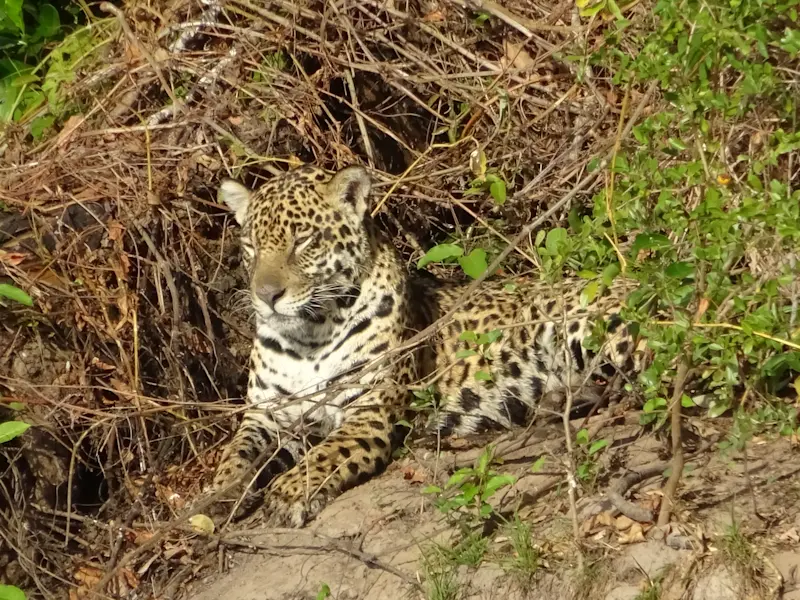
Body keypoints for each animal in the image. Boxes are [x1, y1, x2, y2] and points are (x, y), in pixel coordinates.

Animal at [198, 164, 642, 528]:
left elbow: (323, 454)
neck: (310, 336)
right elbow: (235, 454)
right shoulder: (266, 415)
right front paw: (216, 496)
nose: (266, 295)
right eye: (251, 247)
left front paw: (289, 492)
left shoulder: (369, 410)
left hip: (593, 329)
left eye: (303, 241)